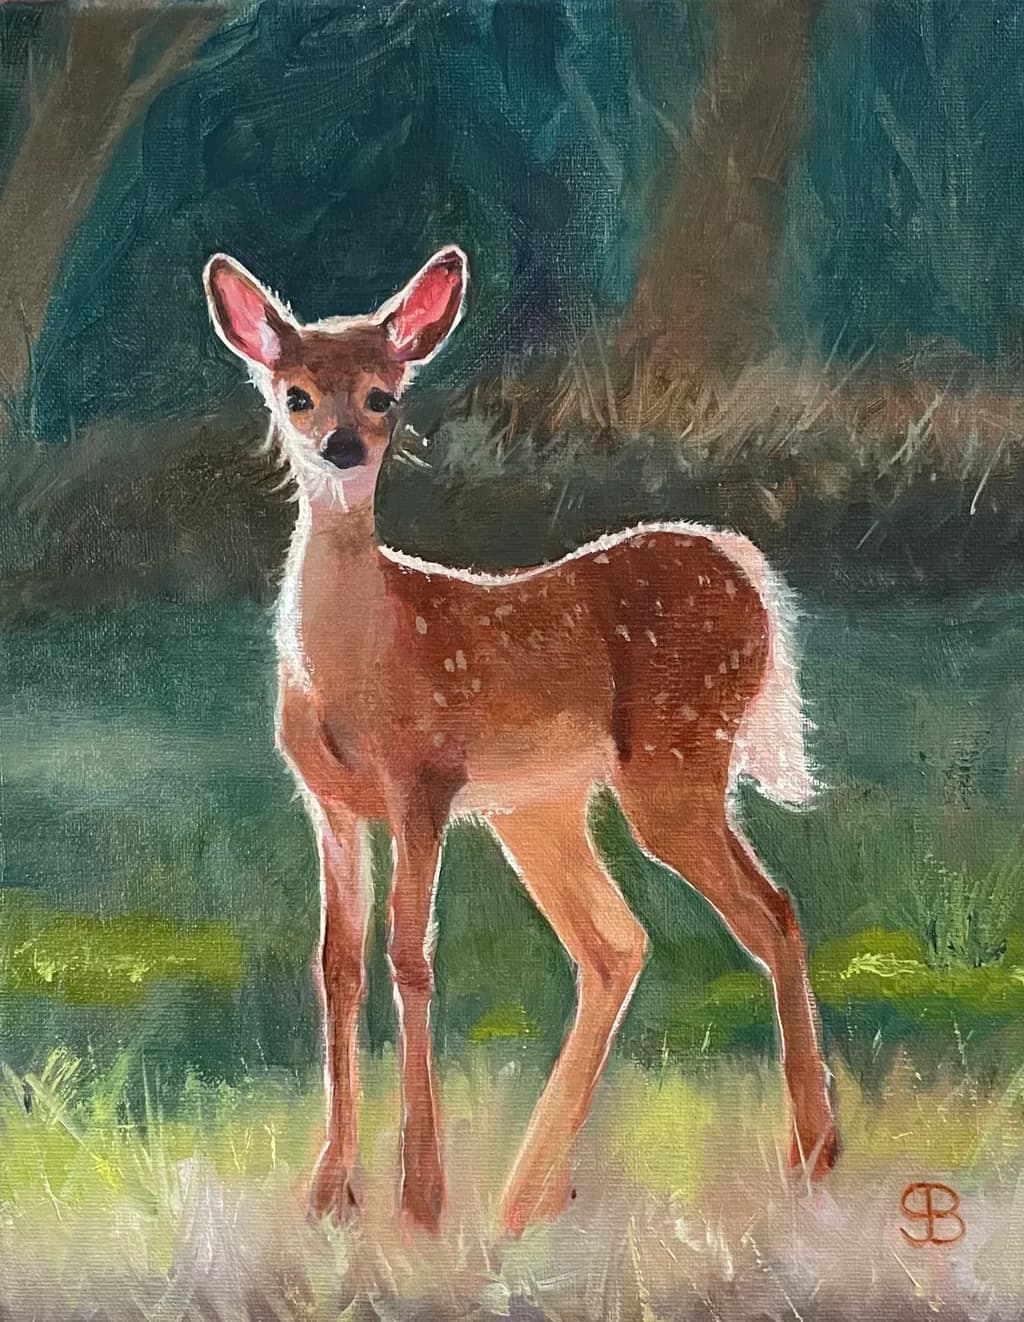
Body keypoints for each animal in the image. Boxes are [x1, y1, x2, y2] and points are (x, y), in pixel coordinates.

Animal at [203, 244, 839, 1237]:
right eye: (295, 394)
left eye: (383, 395)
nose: (343, 447)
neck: (362, 662)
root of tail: (749, 573)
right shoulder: (328, 800)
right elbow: (337, 965)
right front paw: (330, 1195)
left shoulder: (425, 779)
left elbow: (410, 956)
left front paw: (419, 1198)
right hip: (542, 808)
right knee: (617, 944)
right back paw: (526, 1199)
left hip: (674, 763)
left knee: (769, 911)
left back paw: (810, 1156)